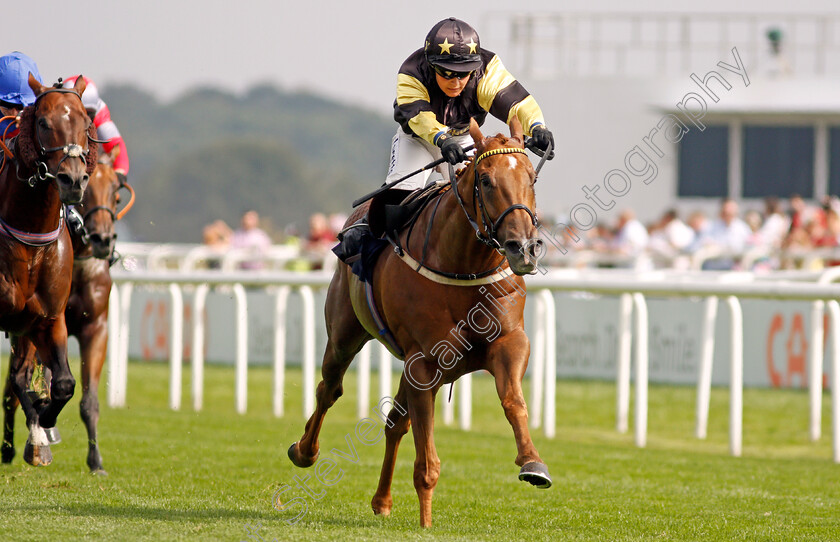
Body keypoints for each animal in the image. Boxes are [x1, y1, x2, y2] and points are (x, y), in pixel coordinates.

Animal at [1, 147, 130, 474]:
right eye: (86, 194)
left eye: (116, 196)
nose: (102, 240)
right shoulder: (40, 320)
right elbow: (28, 383)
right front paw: (39, 433)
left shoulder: (95, 328)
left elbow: (88, 401)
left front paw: (96, 461)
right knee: (14, 386)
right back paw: (17, 444)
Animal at [288, 118, 552, 528]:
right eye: (486, 180)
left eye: (531, 178)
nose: (523, 248)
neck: (463, 265)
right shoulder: (425, 361)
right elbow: (426, 453)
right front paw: (427, 521)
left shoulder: (509, 341)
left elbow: (512, 399)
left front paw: (533, 463)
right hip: (345, 334)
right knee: (329, 389)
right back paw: (305, 451)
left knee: (395, 421)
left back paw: (382, 500)